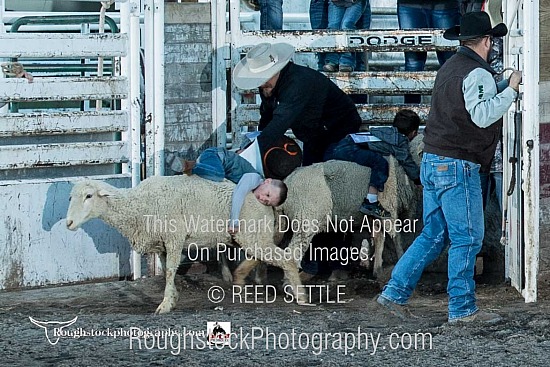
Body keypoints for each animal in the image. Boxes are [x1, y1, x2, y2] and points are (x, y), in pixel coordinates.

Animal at [66, 177, 306, 314]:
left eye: (89, 196)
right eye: (70, 197)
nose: (68, 223)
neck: (139, 203)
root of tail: (262, 200)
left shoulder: (174, 237)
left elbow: (171, 270)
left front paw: (165, 305)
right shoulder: (162, 244)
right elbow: (166, 271)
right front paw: (172, 298)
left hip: (254, 235)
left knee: (286, 259)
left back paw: (301, 296)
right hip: (254, 236)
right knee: (265, 256)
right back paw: (241, 278)